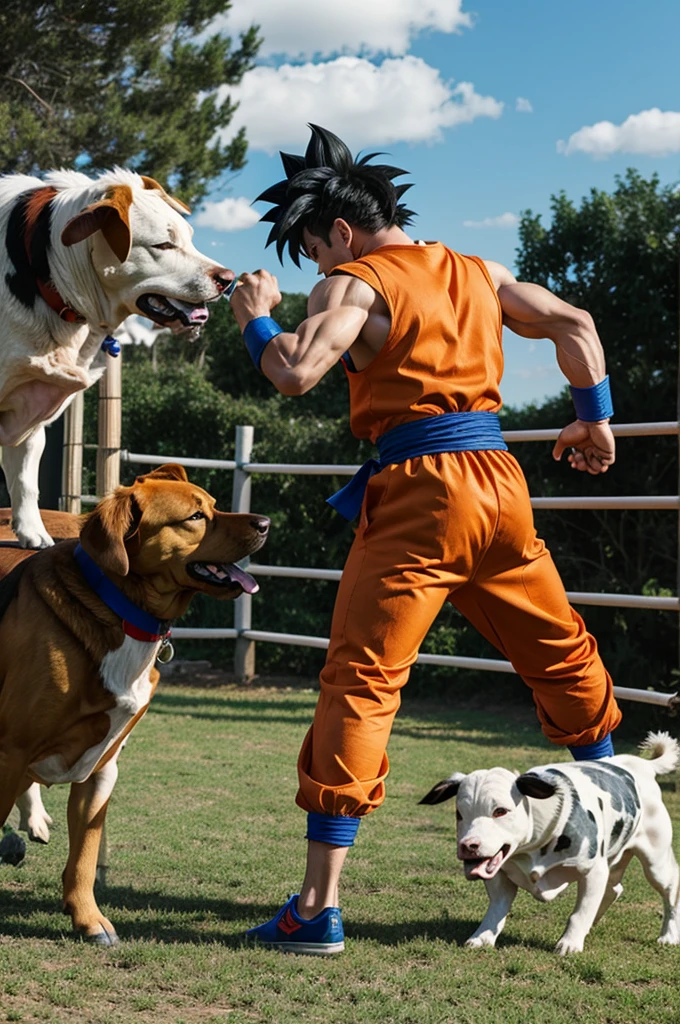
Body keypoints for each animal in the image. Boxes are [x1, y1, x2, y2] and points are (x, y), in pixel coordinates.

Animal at [0, 169, 233, 552]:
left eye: (189, 238)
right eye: (163, 245)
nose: (228, 279)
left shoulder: (33, 407)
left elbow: (26, 479)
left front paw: (34, 534)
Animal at [0, 464, 270, 942]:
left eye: (215, 504)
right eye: (195, 517)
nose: (265, 523)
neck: (120, 612)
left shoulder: (102, 767)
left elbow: (85, 856)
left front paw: (88, 918)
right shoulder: (9, 751)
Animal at [419, 733, 680, 954]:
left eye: (500, 811)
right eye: (459, 814)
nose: (468, 845)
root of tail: (643, 766)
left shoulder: (593, 870)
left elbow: (579, 913)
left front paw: (570, 943)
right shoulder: (500, 875)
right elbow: (496, 910)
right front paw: (483, 937)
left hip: (656, 863)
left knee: (670, 892)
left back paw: (668, 935)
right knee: (613, 889)